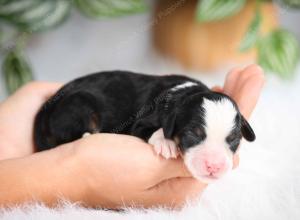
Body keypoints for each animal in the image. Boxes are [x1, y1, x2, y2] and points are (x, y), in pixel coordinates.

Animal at [35, 70, 255, 182]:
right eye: (193, 134)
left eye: (233, 140)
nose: (214, 166)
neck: (182, 94)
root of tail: (47, 107)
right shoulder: (141, 122)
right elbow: (151, 130)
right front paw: (166, 143)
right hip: (79, 104)